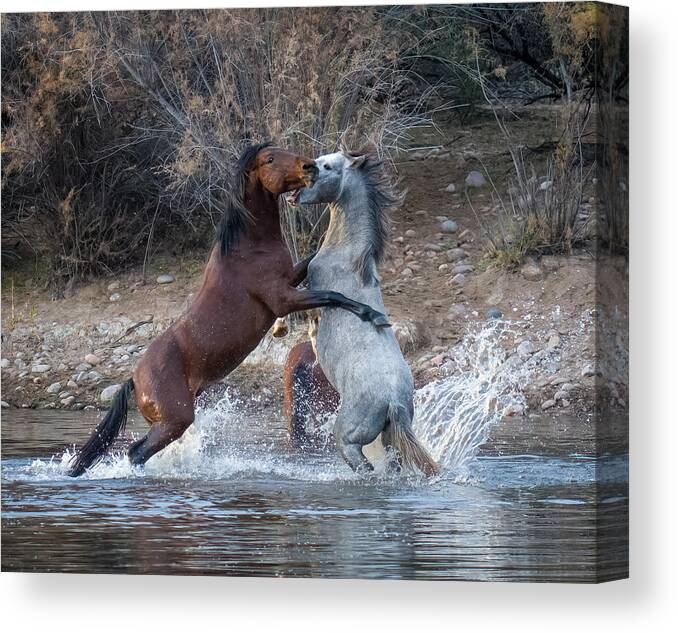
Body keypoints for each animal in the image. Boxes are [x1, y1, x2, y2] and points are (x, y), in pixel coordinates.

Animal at [67, 142, 394, 474]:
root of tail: (135, 379)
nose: (309, 167)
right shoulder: (283, 299)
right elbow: (332, 294)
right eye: (270, 159)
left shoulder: (290, 278)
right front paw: (374, 315)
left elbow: (314, 263)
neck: (248, 247)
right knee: (136, 452)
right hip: (175, 421)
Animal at [294, 147, 438, 474]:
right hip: (390, 438)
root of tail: (394, 400)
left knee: (364, 467)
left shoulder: (312, 295)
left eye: (327, 166)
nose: (304, 169)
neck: (346, 254)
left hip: (347, 440)